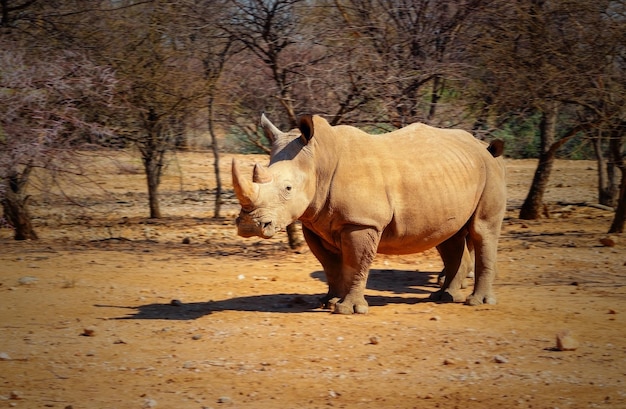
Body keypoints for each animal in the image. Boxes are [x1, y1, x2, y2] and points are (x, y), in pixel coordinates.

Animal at [232, 114, 504, 312]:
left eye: (288, 188)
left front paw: (348, 309)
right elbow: (330, 265)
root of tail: (483, 147)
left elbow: (356, 262)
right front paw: (328, 302)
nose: (249, 227)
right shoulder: (314, 222)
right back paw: (443, 297)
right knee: (449, 237)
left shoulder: (362, 222)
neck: (319, 161)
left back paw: (476, 302)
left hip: (490, 170)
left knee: (482, 231)